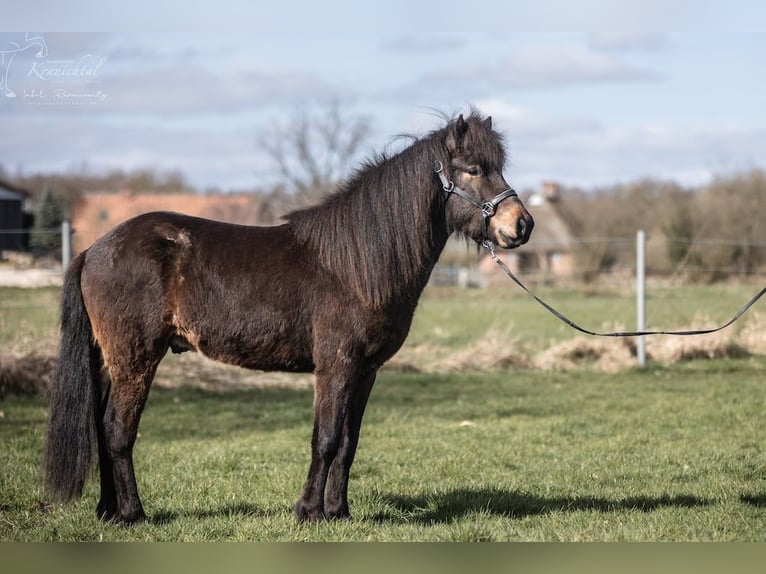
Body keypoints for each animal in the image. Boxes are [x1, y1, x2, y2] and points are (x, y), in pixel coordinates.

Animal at [44, 111, 534, 524]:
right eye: (473, 169)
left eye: (498, 165)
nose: (521, 224)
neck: (354, 263)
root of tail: (95, 249)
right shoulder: (336, 366)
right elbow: (326, 438)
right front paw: (309, 512)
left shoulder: (366, 371)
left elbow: (349, 444)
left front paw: (339, 512)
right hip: (136, 358)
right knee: (116, 430)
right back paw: (133, 514)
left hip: (112, 359)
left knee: (100, 425)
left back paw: (108, 511)